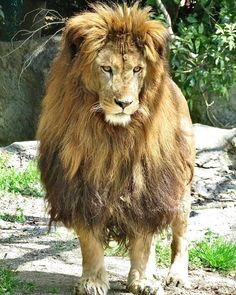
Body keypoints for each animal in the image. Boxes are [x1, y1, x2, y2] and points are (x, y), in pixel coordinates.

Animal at [37, 2, 195, 295]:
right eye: (106, 68)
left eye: (137, 70)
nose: (124, 103)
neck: (112, 137)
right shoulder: (82, 187)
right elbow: (90, 242)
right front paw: (93, 281)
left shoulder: (147, 186)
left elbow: (143, 240)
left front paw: (142, 281)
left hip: (181, 187)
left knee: (180, 235)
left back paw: (176, 276)